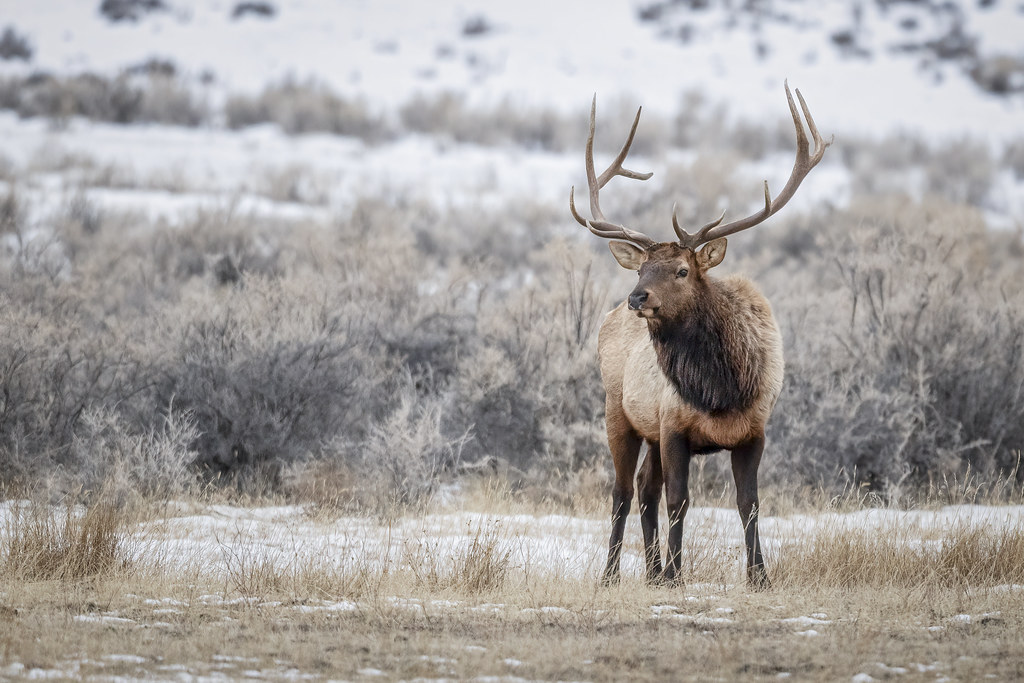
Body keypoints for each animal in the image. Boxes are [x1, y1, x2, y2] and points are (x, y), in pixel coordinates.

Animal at [570, 83, 830, 589]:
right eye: (643, 268)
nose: (637, 297)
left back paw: (650, 573)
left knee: (644, 488)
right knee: (622, 491)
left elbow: (749, 504)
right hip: (618, 412)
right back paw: (614, 574)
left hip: (646, 429)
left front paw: (759, 576)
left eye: (682, 270)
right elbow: (680, 501)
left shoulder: (755, 430)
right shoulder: (673, 426)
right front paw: (676, 575)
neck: (721, 390)